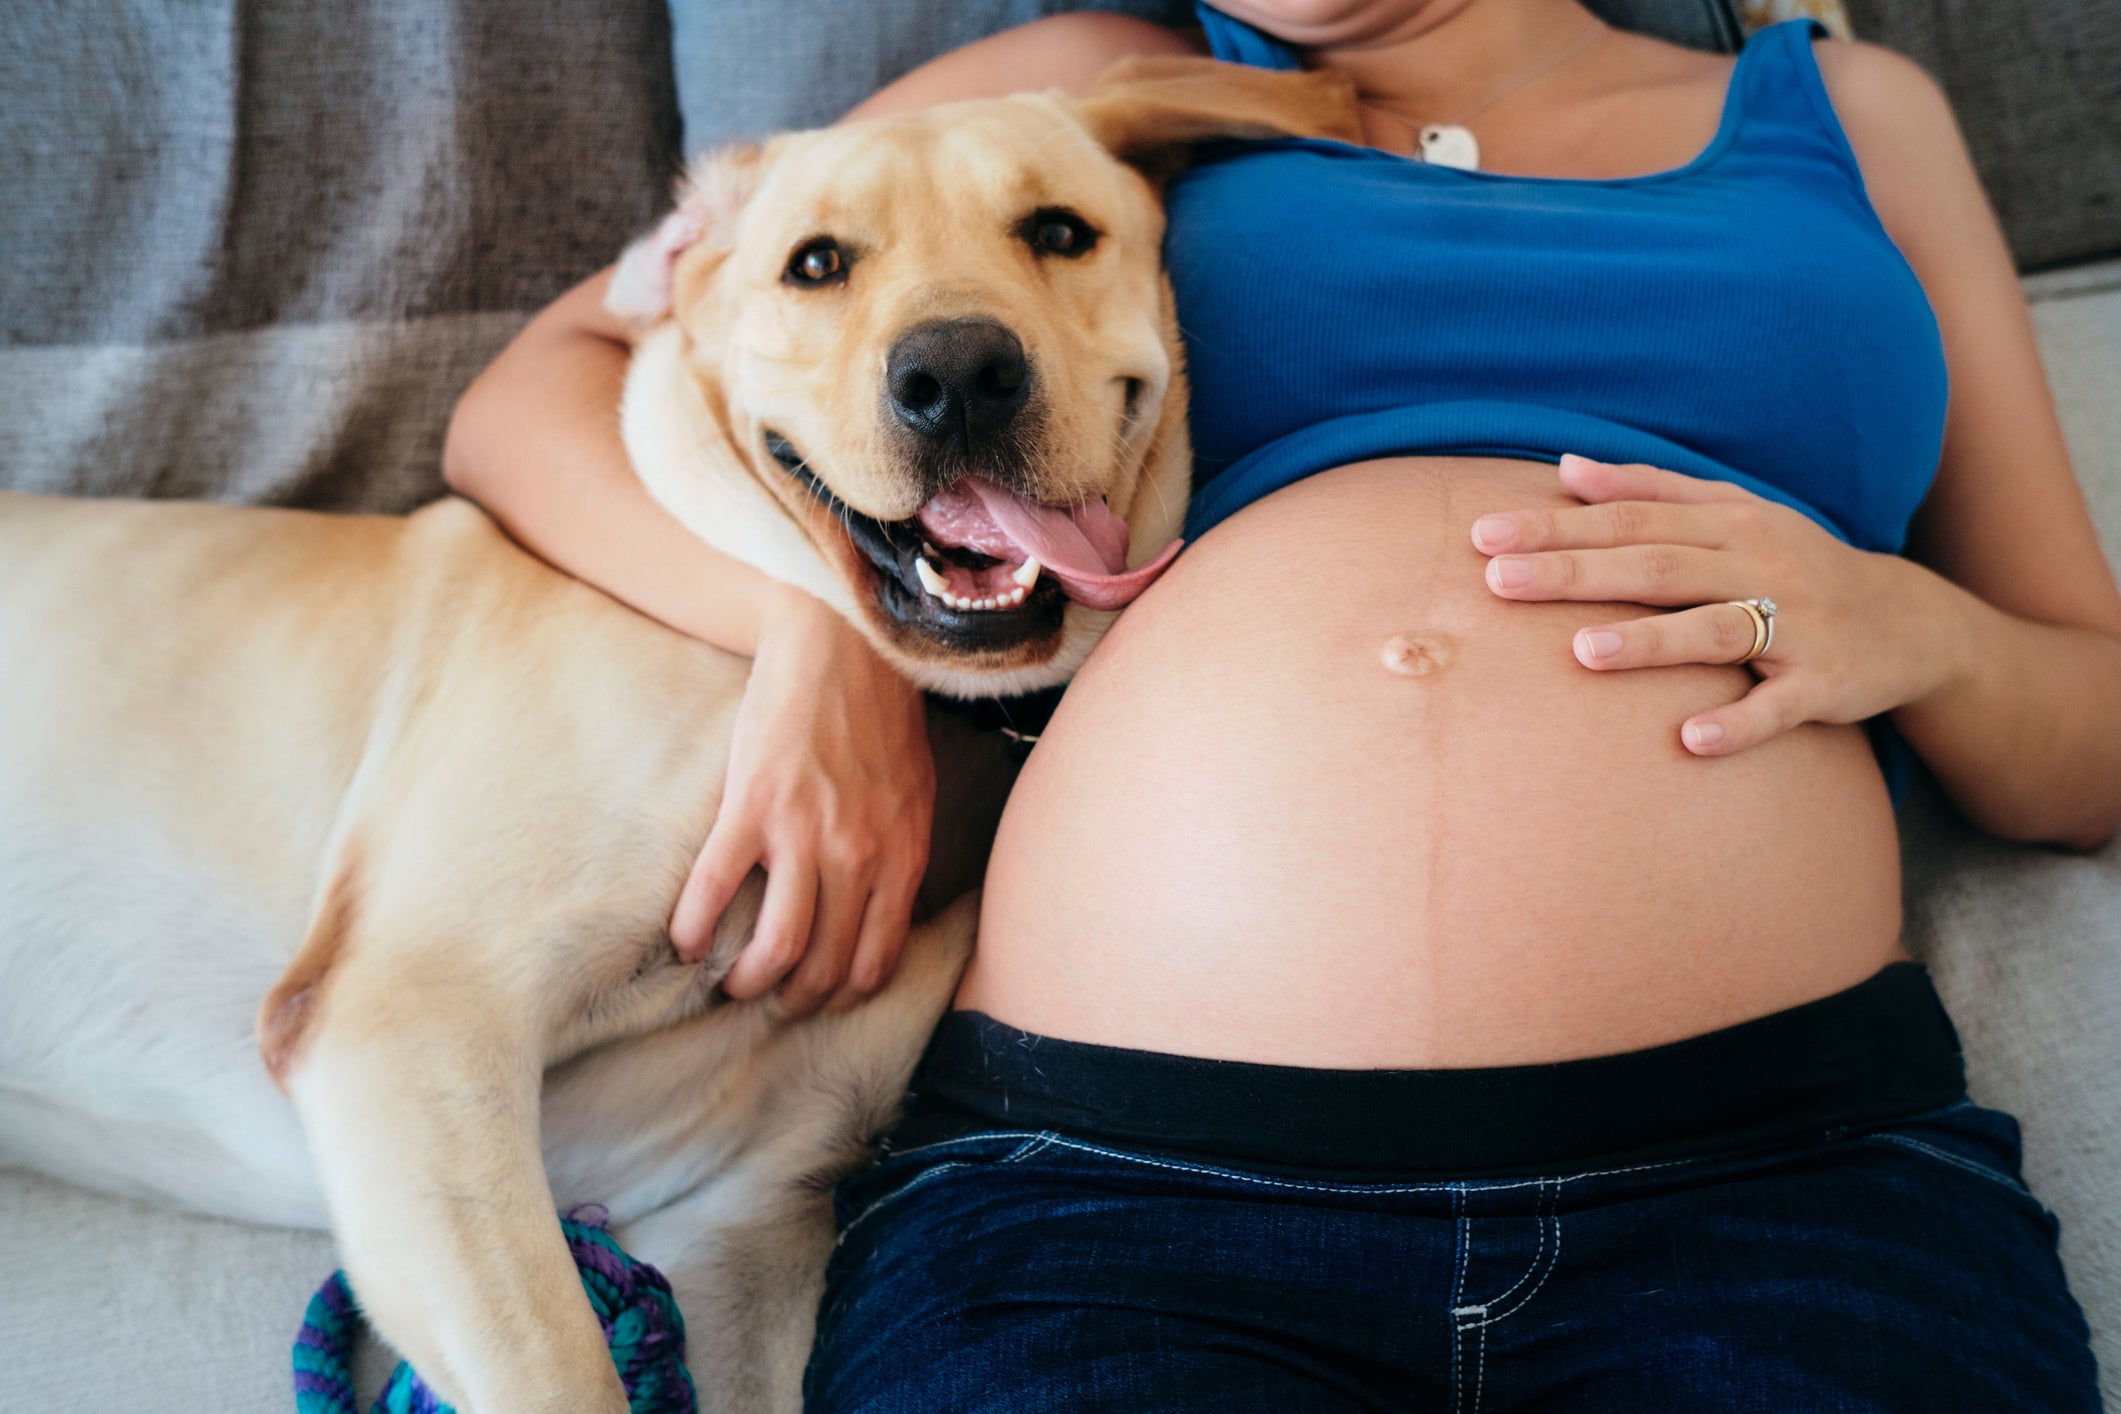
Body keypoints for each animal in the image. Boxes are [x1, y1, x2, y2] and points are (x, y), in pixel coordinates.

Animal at [0, 60, 1357, 1414]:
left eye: (1060, 233)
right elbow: (564, 1376)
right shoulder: (414, 1021)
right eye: (818, 264)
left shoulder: (752, 1204)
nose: (960, 374)